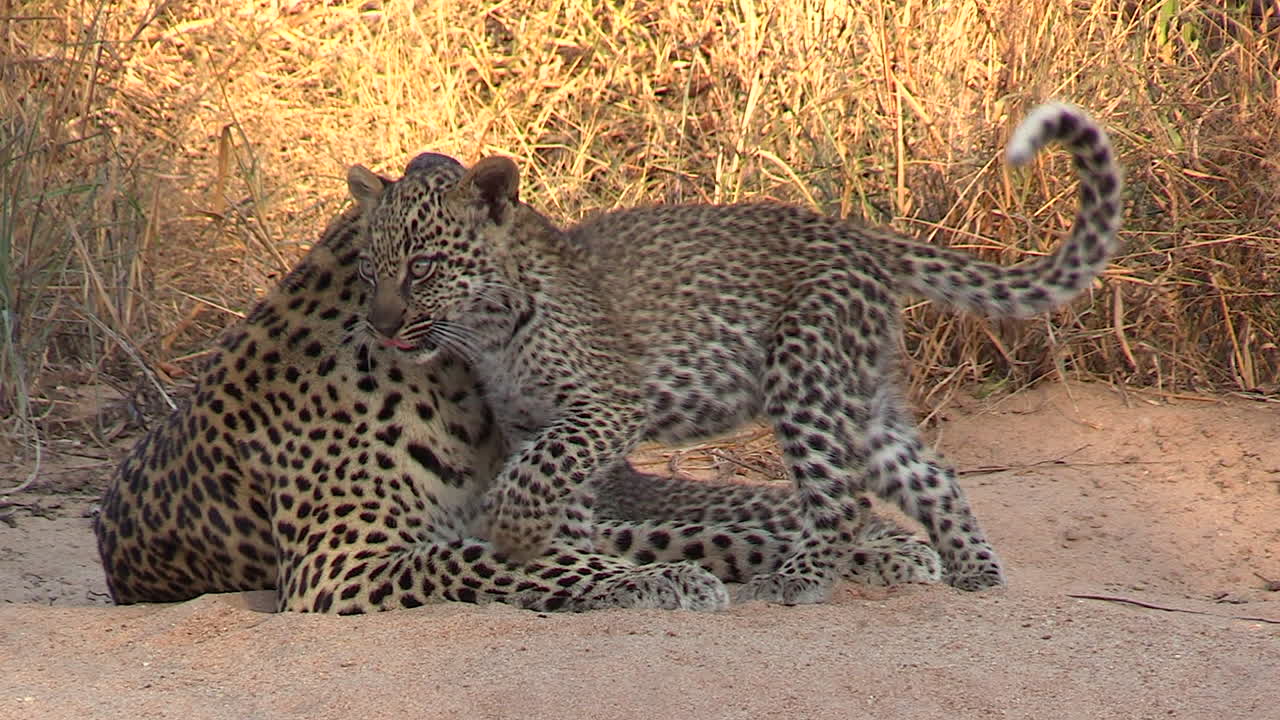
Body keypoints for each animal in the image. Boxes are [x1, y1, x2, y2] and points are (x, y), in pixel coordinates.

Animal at [346, 102, 1123, 605]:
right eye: (367, 269)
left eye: (422, 268)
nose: (380, 326)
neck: (492, 328)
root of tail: (866, 239)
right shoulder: (534, 419)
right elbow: (556, 487)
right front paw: (575, 559)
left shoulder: (606, 408)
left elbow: (536, 476)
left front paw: (515, 532)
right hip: (859, 397)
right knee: (930, 473)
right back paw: (974, 571)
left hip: (805, 379)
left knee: (841, 499)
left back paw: (795, 582)